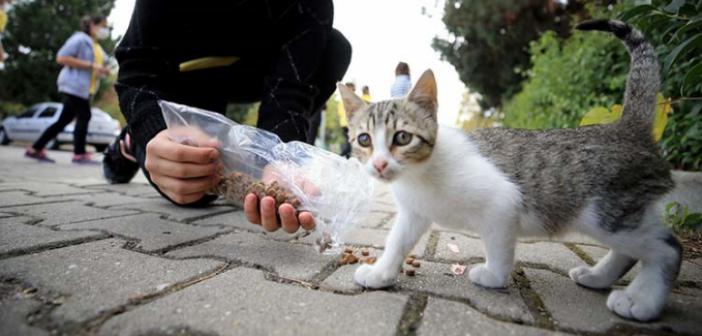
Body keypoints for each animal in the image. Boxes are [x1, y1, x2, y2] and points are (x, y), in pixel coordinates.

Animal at [340, 19, 680, 322]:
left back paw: (642, 301)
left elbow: (498, 244)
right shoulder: (415, 212)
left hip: (605, 214)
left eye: (402, 137)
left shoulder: (502, 203)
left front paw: (494, 275)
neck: (420, 174)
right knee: (632, 250)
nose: (380, 164)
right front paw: (382, 272)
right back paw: (598, 277)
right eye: (364, 139)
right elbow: (398, 241)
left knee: (668, 248)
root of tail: (627, 127)